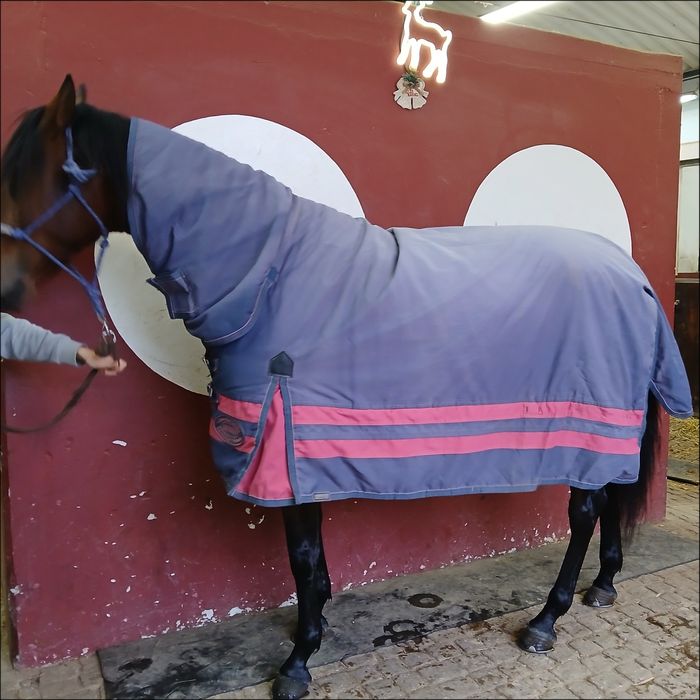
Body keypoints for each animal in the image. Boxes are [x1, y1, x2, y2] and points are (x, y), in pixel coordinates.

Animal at [0, 76, 692, 700]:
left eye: (28, 171)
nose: (5, 287)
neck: (269, 275)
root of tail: (632, 277)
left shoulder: (282, 450)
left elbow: (303, 561)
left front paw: (298, 661)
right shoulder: (298, 455)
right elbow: (314, 564)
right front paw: (313, 633)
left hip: (590, 427)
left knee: (584, 513)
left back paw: (548, 619)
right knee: (612, 498)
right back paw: (603, 586)